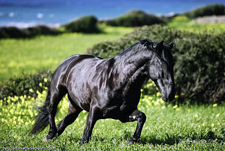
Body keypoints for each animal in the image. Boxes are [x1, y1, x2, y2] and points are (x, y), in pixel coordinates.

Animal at [30, 39, 175, 144]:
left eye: (172, 64)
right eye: (162, 63)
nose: (170, 94)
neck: (118, 80)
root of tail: (69, 61)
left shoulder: (123, 114)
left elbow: (142, 117)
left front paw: (132, 140)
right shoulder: (94, 110)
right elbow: (86, 134)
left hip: (75, 106)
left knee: (65, 121)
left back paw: (51, 136)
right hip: (57, 92)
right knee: (51, 110)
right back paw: (50, 134)